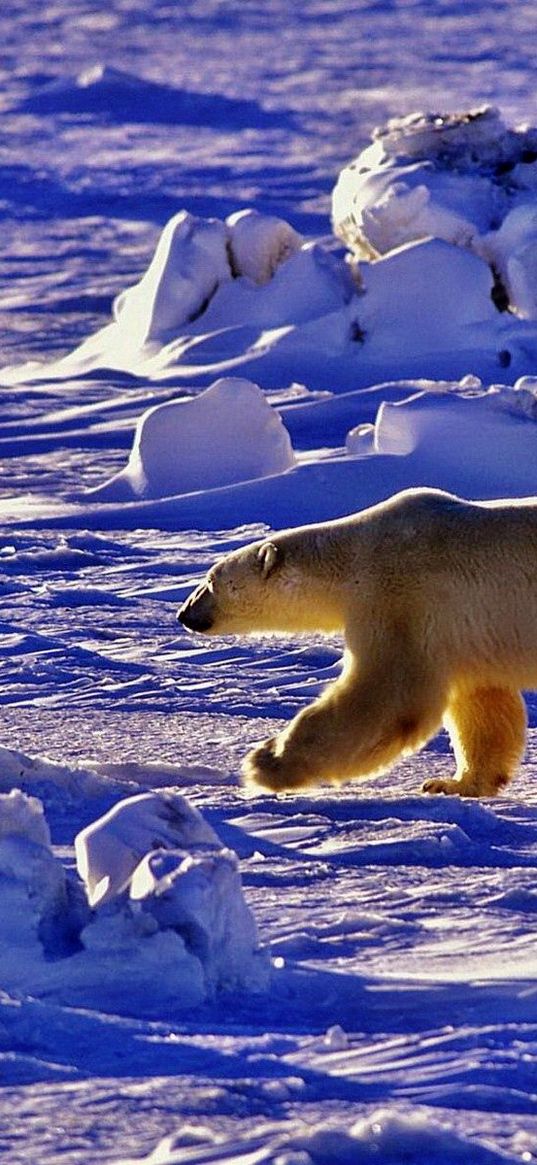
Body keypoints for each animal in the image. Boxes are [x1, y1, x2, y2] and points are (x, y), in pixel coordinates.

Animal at [177, 486, 535, 796]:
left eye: (210, 581)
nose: (184, 614)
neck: (351, 559)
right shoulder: (466, 636)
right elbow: (481, 703)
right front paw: (454, 783)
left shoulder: (398, 601)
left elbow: (387, 697)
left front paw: (266, 762)